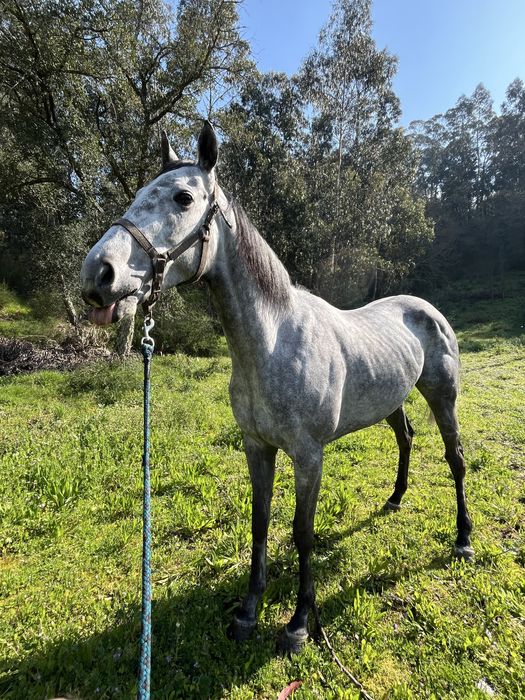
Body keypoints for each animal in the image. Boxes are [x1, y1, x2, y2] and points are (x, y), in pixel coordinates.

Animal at [80, 121, 473, 654]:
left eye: (184, 197)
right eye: (139, 193)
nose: (98, 274)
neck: (273, 342)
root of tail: (425, 308)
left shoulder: (308, 456)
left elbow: (303, 532)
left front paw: (298, 623)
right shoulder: (257, 446)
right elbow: (261, 521)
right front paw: (248, 612)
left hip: (443, 397)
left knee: (455, 459)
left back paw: (463, 539)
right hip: (391, 400)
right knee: (406, 437)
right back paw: (394, 499)